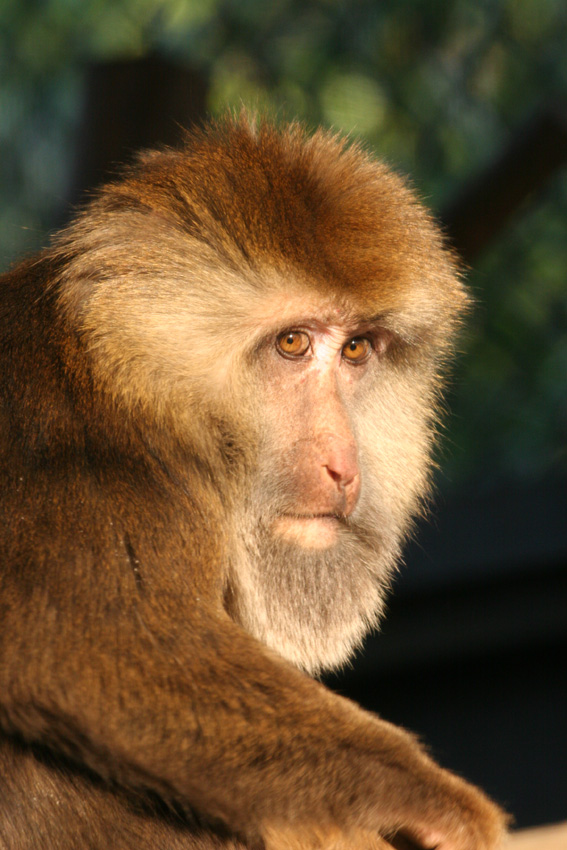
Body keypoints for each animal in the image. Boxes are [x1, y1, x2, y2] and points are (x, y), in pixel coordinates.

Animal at [0, 114, 508, 848]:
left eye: (356, 349)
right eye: (292, 344)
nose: (342, 464)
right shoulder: (86, 449)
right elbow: (77, 641)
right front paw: (426, 801)